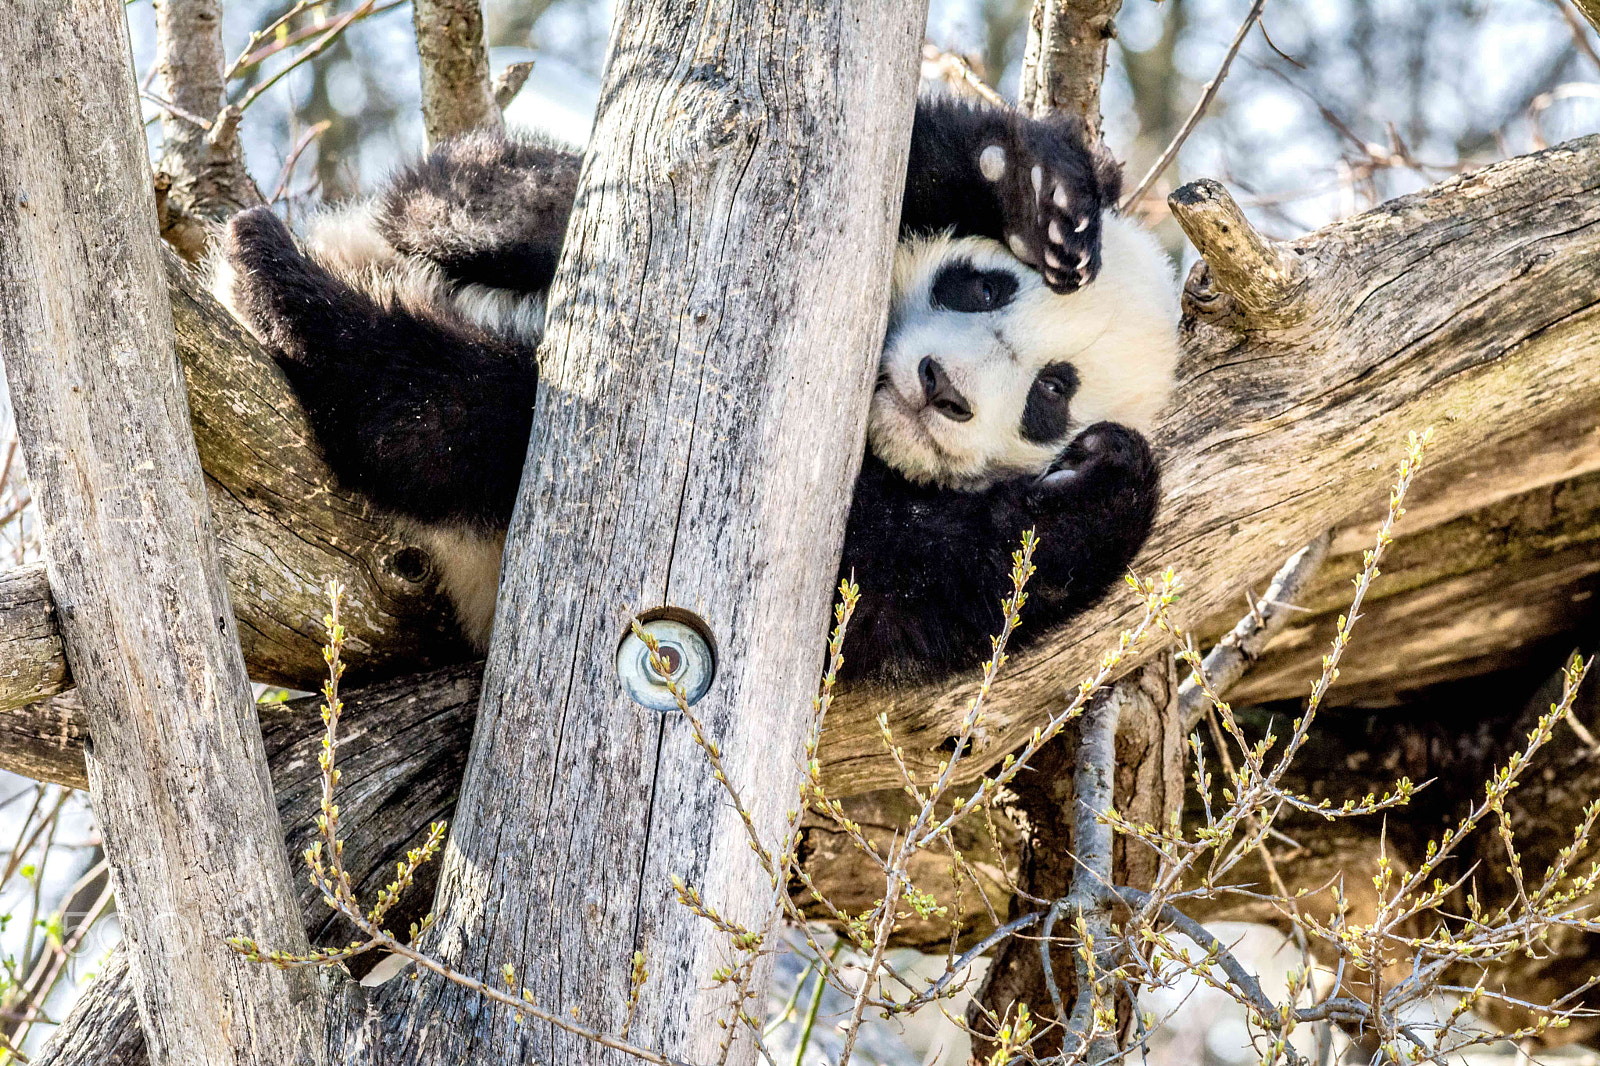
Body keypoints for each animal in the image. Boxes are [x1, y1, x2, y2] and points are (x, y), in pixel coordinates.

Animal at [212, 93, 1184, 681]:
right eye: (980, 286)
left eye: (1051, 394)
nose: (940, 386)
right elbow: (888, 160)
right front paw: (1033, 191)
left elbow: (913, 592)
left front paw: (1104, 478)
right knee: (480, 191)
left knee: (461, 415)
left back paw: (302, 308)